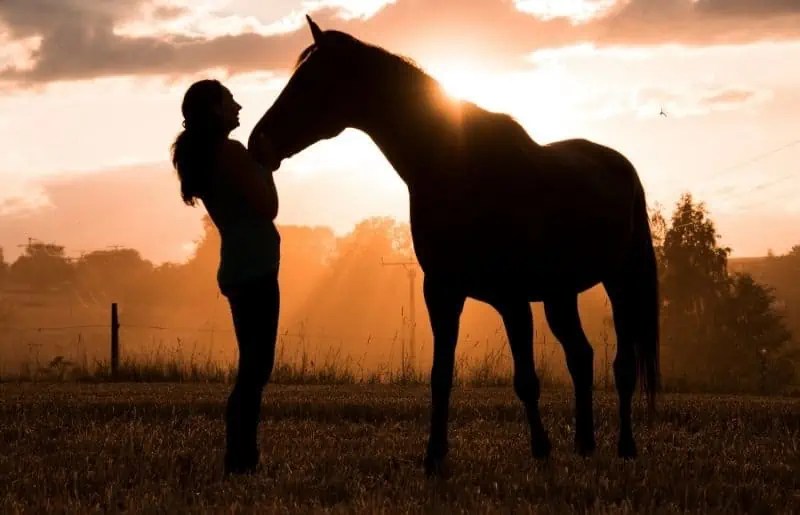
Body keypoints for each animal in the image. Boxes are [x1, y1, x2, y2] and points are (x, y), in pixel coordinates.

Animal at [249, 16, 660, 476]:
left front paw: (540, 448)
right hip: (560, 296)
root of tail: (621, 166)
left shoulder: (511, 299)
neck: (458, 167)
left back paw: (625, 446)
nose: (257, 141)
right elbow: (440, 375)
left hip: (621, 283)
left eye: (309, 81)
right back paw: (585, 443)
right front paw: (434, 455)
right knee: (581, 358)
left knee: (622, 366)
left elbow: (526, 379)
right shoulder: (442, 292)